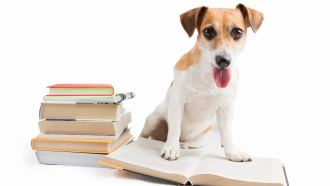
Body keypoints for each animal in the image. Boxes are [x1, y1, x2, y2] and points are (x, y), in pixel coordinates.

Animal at [141, 4, 264, 161]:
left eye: (237, 32)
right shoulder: (177, 102)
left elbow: (227, 132)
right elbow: (174, 129)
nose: (223, 60)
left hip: (203, 134)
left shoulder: (226, 107)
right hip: (153, 120)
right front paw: (171, 148)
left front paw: (232, 152)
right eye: (208, 31)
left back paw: (184, 145)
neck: (208, 78)